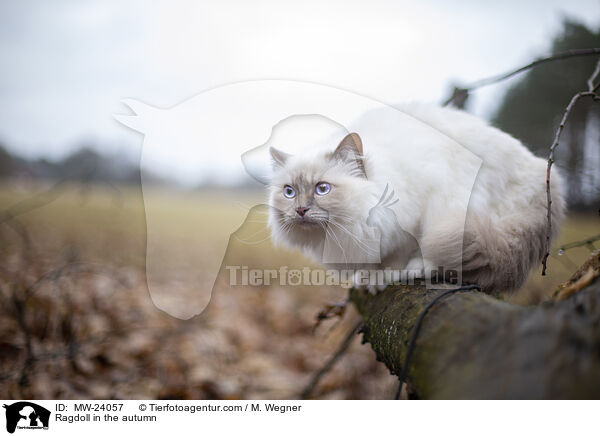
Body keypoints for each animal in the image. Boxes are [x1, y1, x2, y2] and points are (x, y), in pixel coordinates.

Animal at [264, 103, 564, 292]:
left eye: (322, 189)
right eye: (289, 192)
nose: (300, 210)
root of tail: (541, 173)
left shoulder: (412, 217)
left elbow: (399, 255)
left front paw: (382, 276)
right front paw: (366, 276)